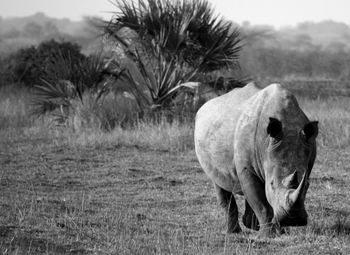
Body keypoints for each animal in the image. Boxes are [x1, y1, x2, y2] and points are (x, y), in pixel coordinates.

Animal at [196, 83, 318, 237]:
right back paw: (233, 232)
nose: (293, 220)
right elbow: (261, 204)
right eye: (272, 184)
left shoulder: (308, 156)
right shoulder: (247, 167)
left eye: (308, 185)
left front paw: (280, 231)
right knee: (219, 182)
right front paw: (268, 235)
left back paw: (253, 226)